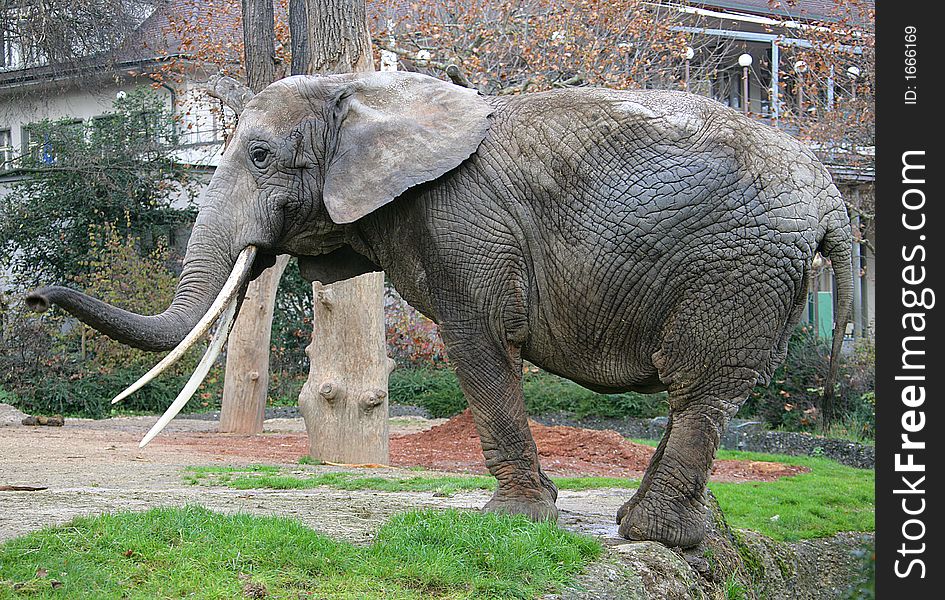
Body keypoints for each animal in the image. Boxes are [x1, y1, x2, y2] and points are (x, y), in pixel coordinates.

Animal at [25, 70, 852, 548]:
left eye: (260, 157)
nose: (32, 296)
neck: (367, 92)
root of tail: (828, 193)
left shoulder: (462, 223)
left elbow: (477, 342)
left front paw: (511, 524)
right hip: (758, 273)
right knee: (706, 394)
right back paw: (659, 529)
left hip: (737, 266)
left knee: (699, 390)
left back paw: (652, 535)